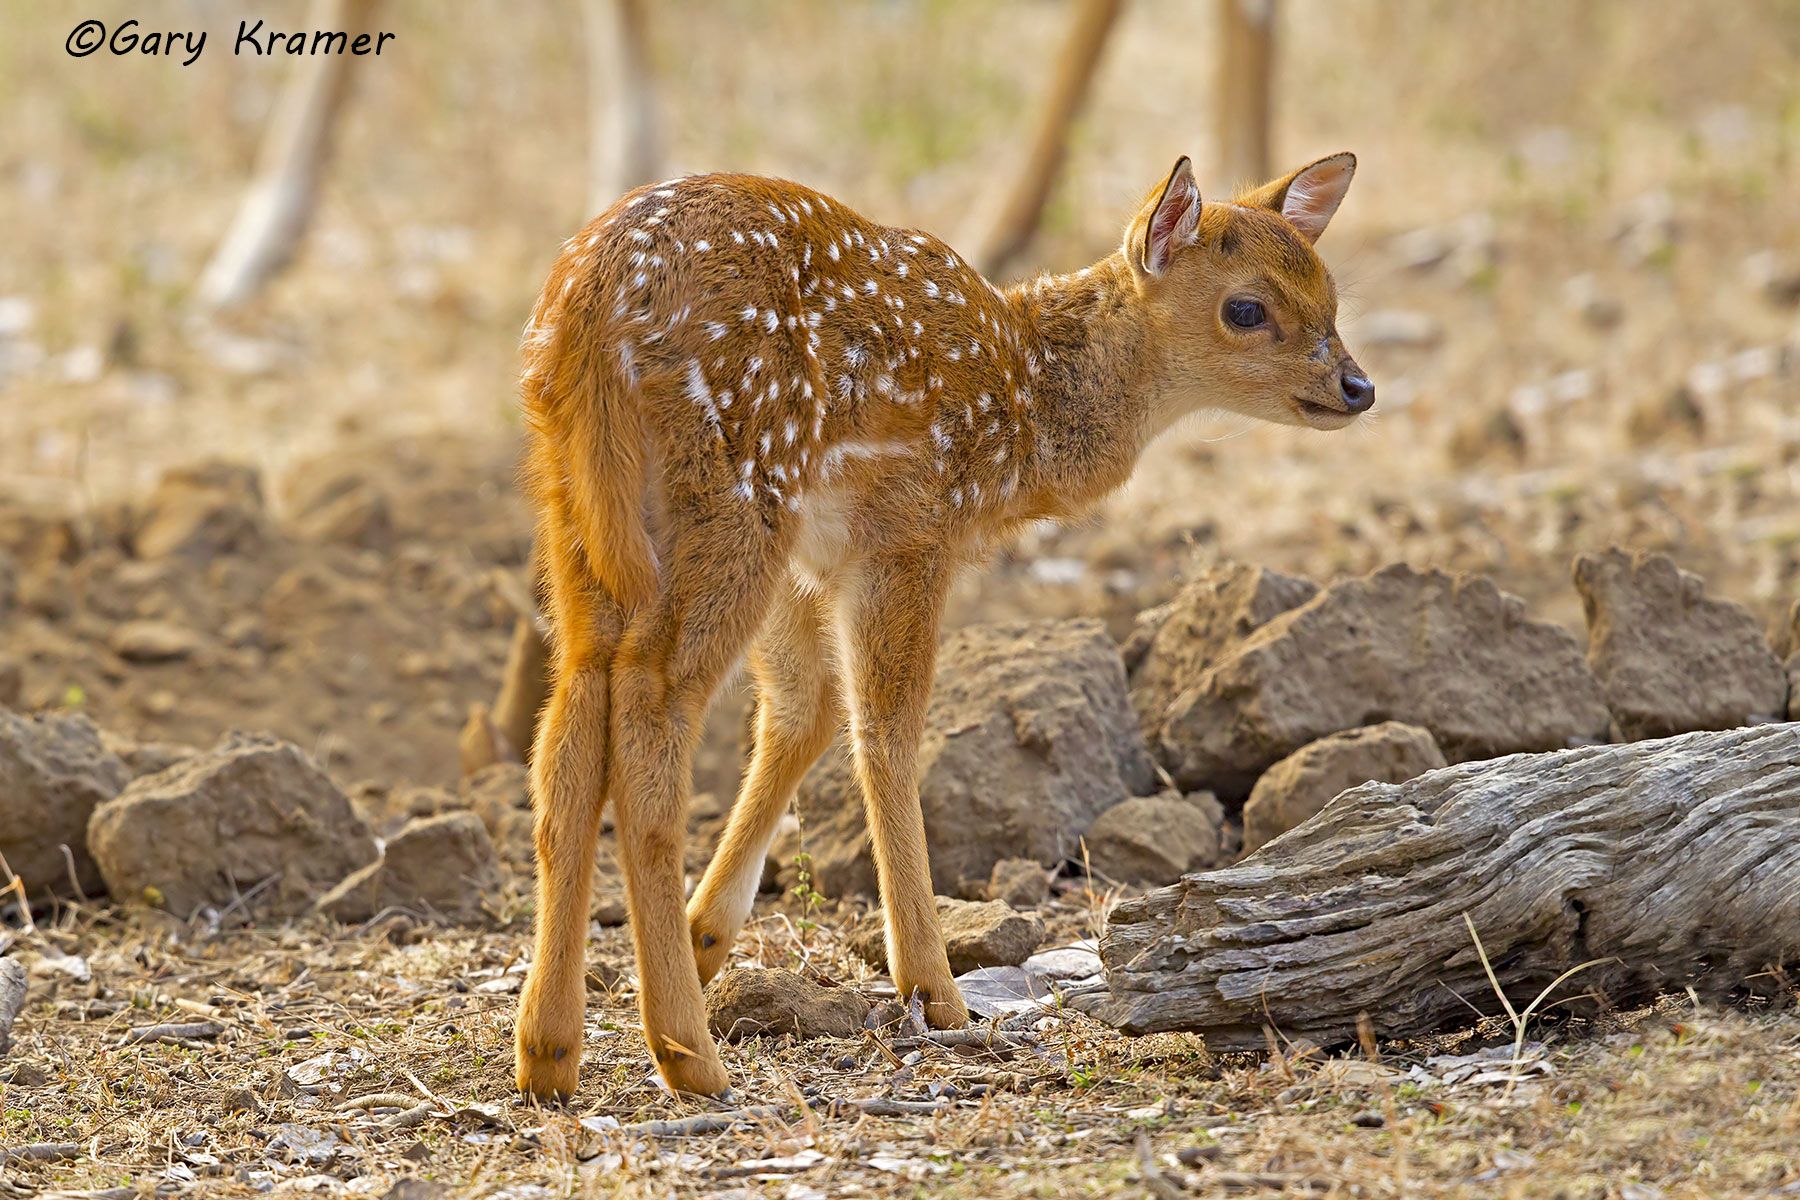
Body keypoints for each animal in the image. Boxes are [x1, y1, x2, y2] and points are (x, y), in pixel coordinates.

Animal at [513, 151, 1370, 1100]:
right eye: (1245, 308)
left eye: (1329, 291)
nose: (1358, 387)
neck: (1024, 401)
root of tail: (589, 308)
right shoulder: (911, 529)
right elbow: (886, 731)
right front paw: (934, 989)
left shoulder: (814, 557)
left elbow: (806, 712)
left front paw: (709, 937)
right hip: (737, 486)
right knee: (650, 707)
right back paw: (686, 1053)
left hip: (583, 507)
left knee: (572, 717)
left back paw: (548, 1052)